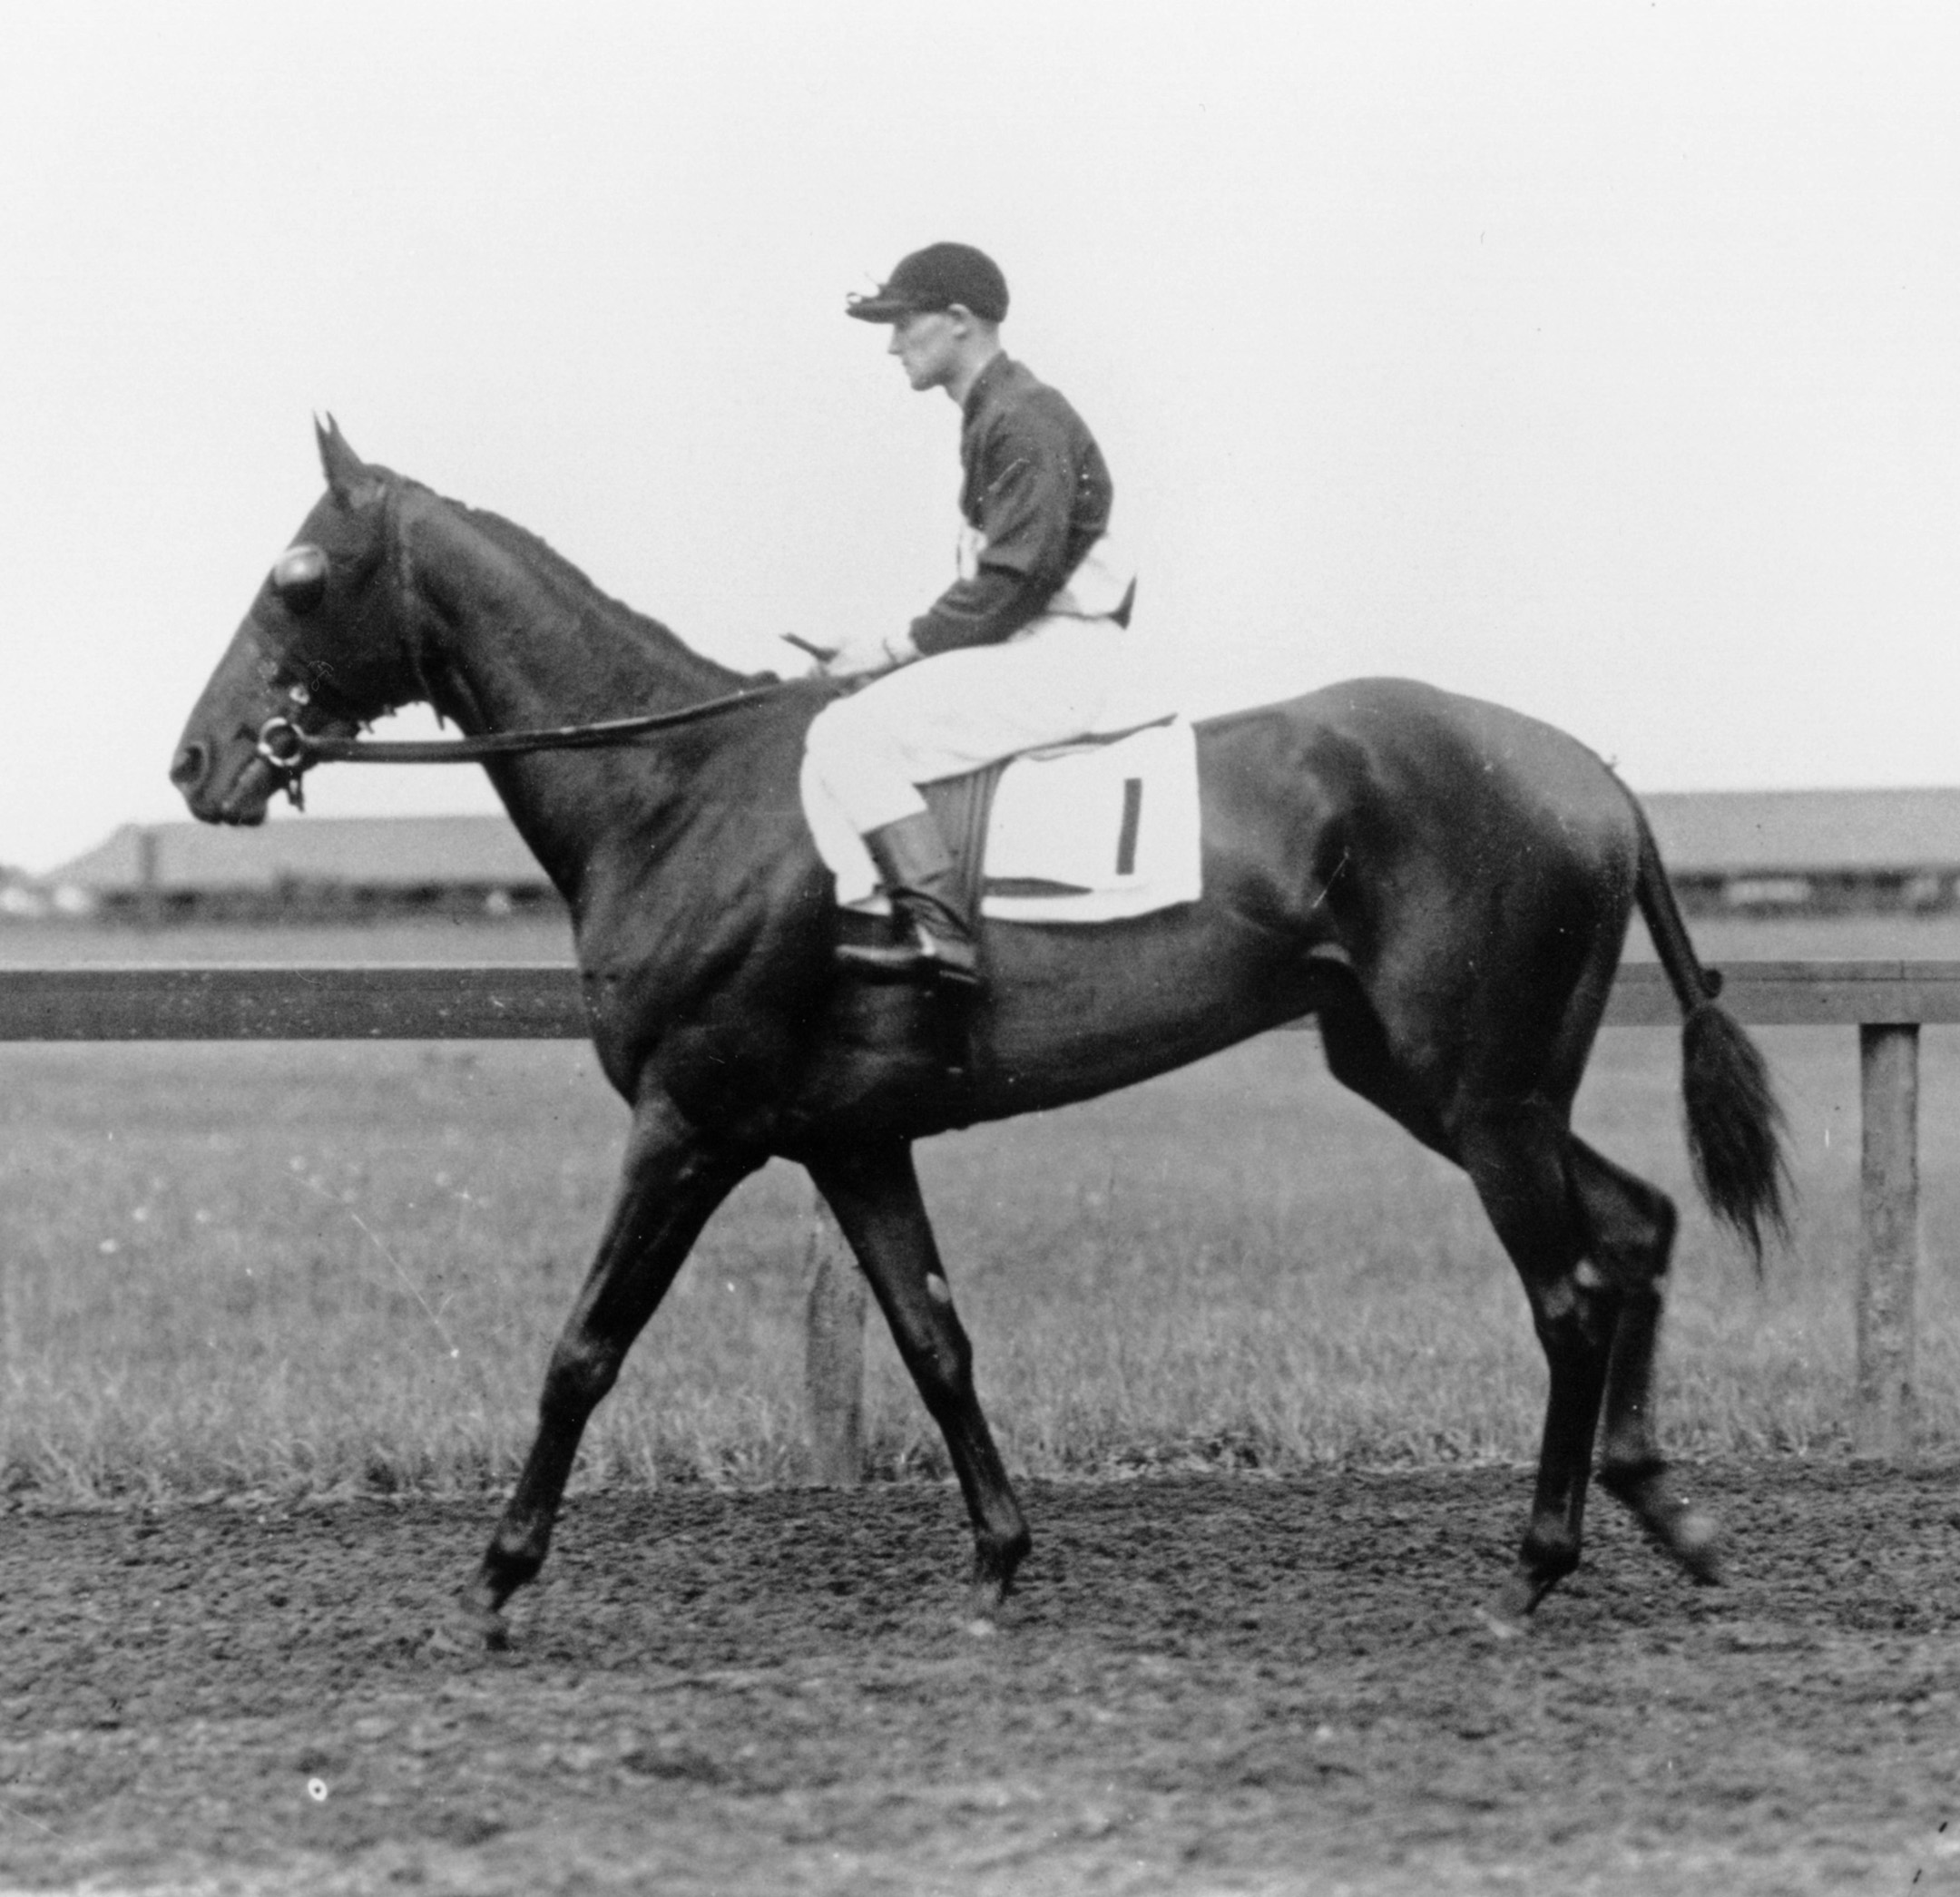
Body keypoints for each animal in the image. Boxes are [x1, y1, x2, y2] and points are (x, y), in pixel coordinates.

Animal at [172, 423, 1795, 1638]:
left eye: (296, 576)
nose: (196, 759)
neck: (684, 793)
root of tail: (1589, 768)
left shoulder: (690, 1125)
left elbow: (585, 1344)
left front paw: (502, 1576)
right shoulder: (851, 1140)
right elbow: (933, 1337)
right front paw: (999, 1560)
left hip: (1482, 1094)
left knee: (1571, 1290)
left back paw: (1537, 1565)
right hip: (1448, 1080)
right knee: (1636, 1228)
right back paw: (1671, 1511)